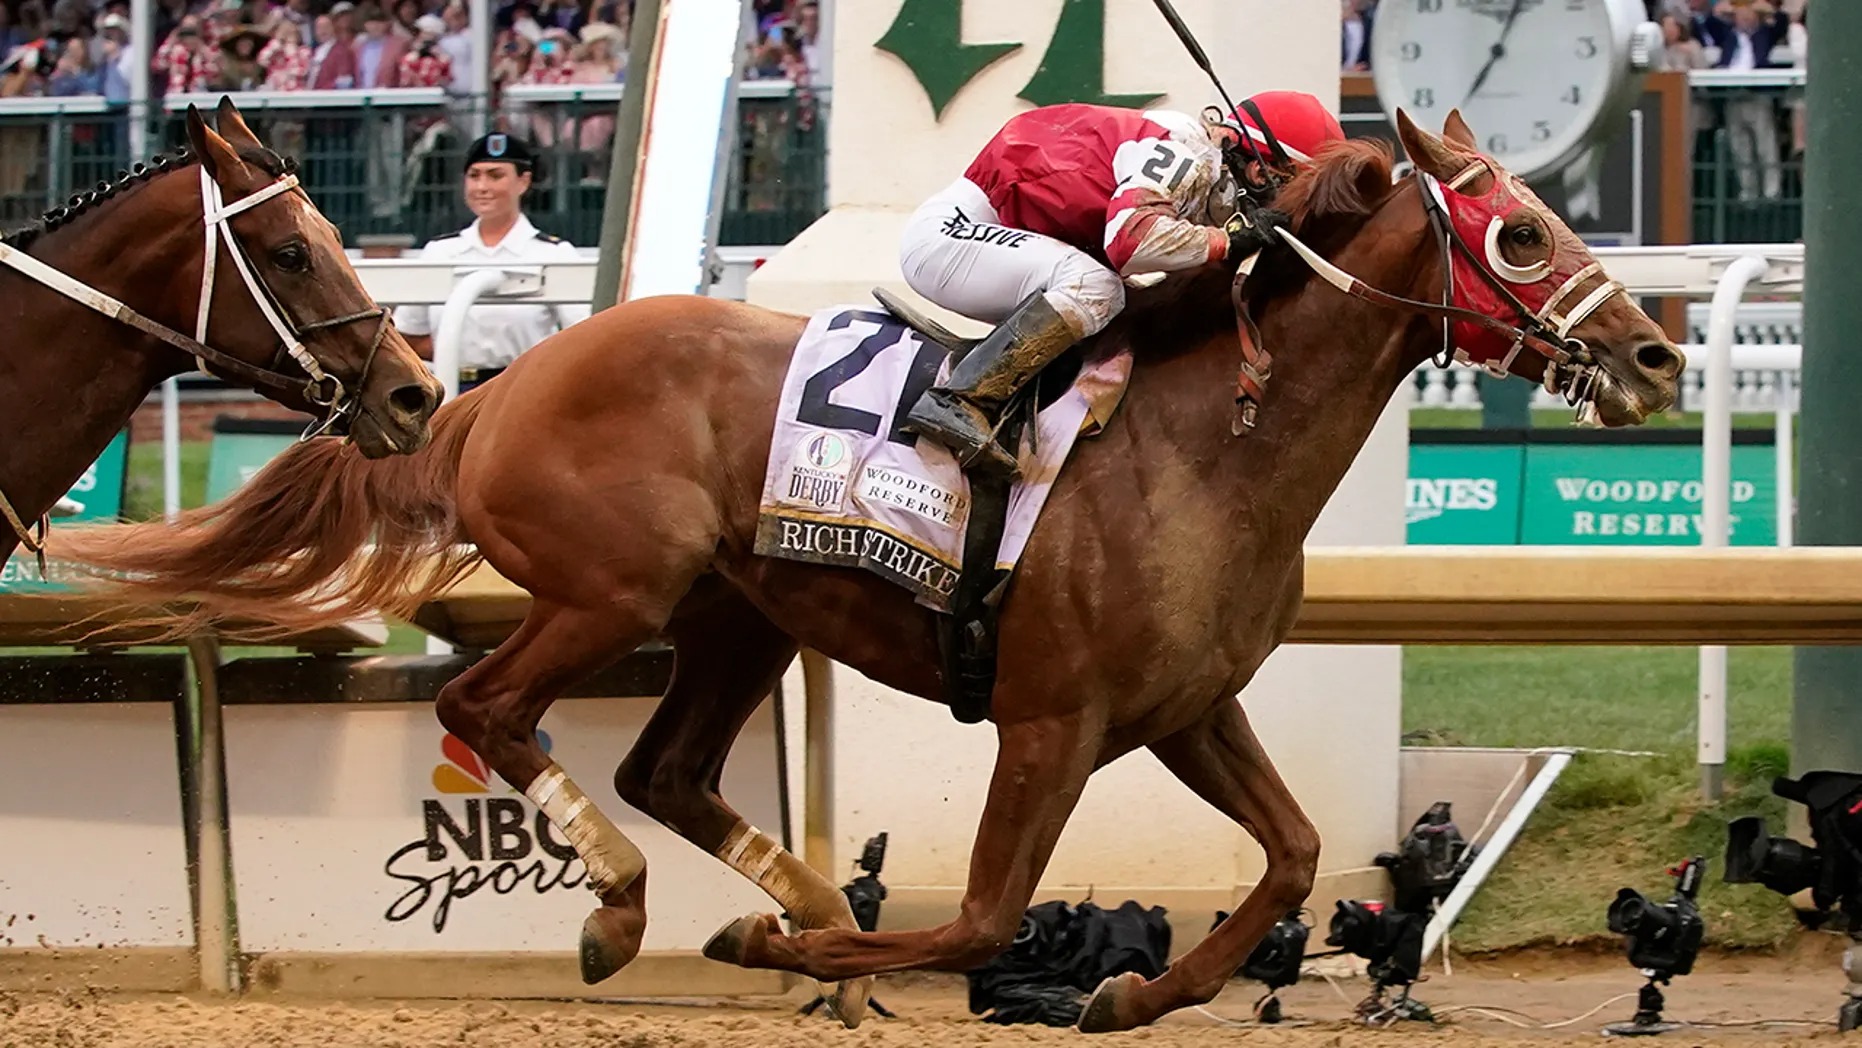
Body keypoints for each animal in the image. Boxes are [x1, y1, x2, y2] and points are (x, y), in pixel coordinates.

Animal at [54, 110, 1675, 1027]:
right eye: (1519, 235)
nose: (1655, 354)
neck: (1207, 441)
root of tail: (480, 390)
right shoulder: (1050, 721)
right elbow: (980, 916)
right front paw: (786, 948)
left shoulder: (1183, 708)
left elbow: (1283, 854)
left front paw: (1133, 986)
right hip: (611, 593)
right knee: (491, 711)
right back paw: (638, 909)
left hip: (736, 619)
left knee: (662, 768)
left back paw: (798, 911)